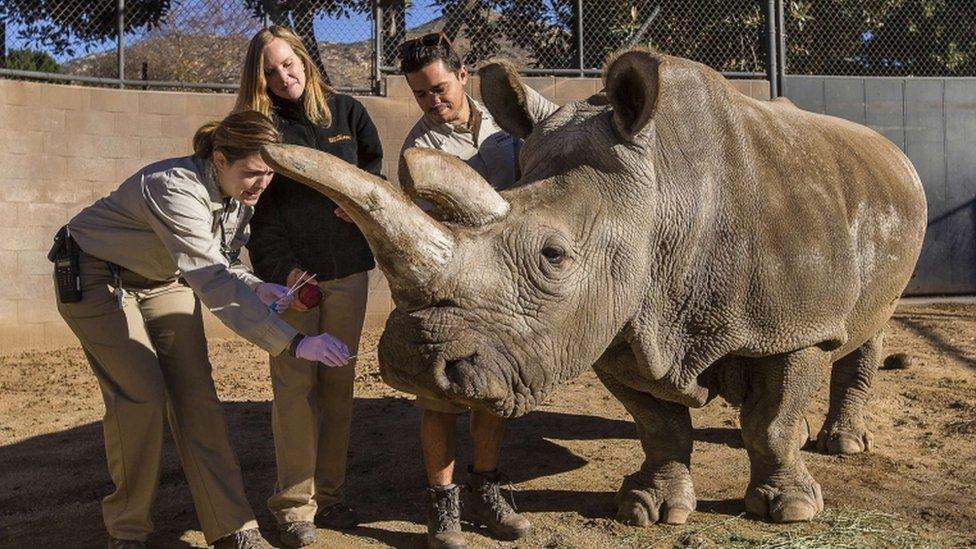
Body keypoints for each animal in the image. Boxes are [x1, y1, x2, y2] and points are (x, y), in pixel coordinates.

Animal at [264, 51, 928, 528]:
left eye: (553, 256)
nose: (412, 362)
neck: (662, 190)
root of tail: (889, 148)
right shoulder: (615, 322)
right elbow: (658, 424)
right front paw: (648, 509)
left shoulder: (796, 325)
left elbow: (772, 421)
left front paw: (789, 509)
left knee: (870, 323)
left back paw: (843, 445)